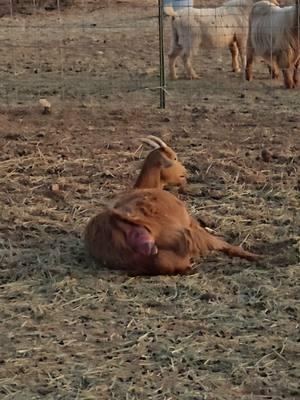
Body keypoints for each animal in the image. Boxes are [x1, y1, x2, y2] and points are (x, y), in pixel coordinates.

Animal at [85, 137, 260, 276]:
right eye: (174, 158)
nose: (185, 172)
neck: (144, 187)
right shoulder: (190, 223)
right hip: (183, 234)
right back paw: (259, 257)